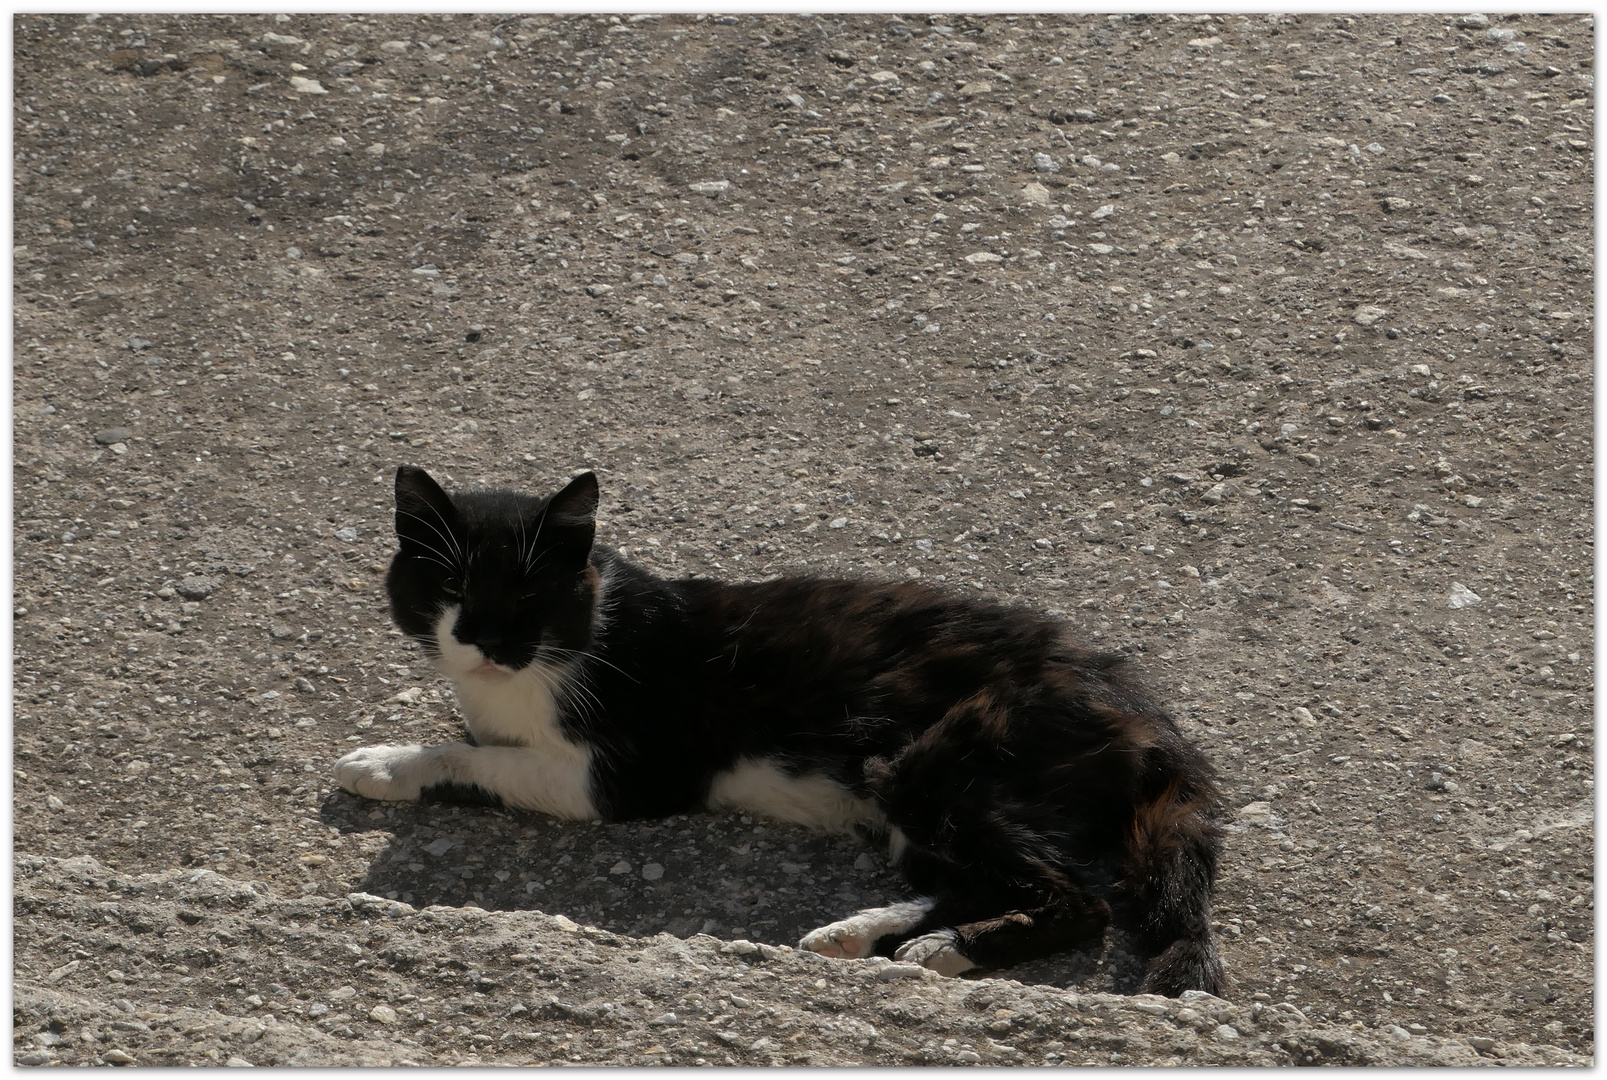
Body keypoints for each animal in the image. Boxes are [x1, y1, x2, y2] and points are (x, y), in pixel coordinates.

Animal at [332, 462, 1221, 996]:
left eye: (526, 596)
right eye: (451, 587)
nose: (485, 640)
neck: (573, 641)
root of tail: (1140, 708)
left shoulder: (620, 778)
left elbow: (474, 757)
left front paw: (383, 762)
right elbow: (479, 738)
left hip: (930, 764)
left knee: (1078, 899)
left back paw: (949, 951)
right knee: (989, 880)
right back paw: (865, 935)